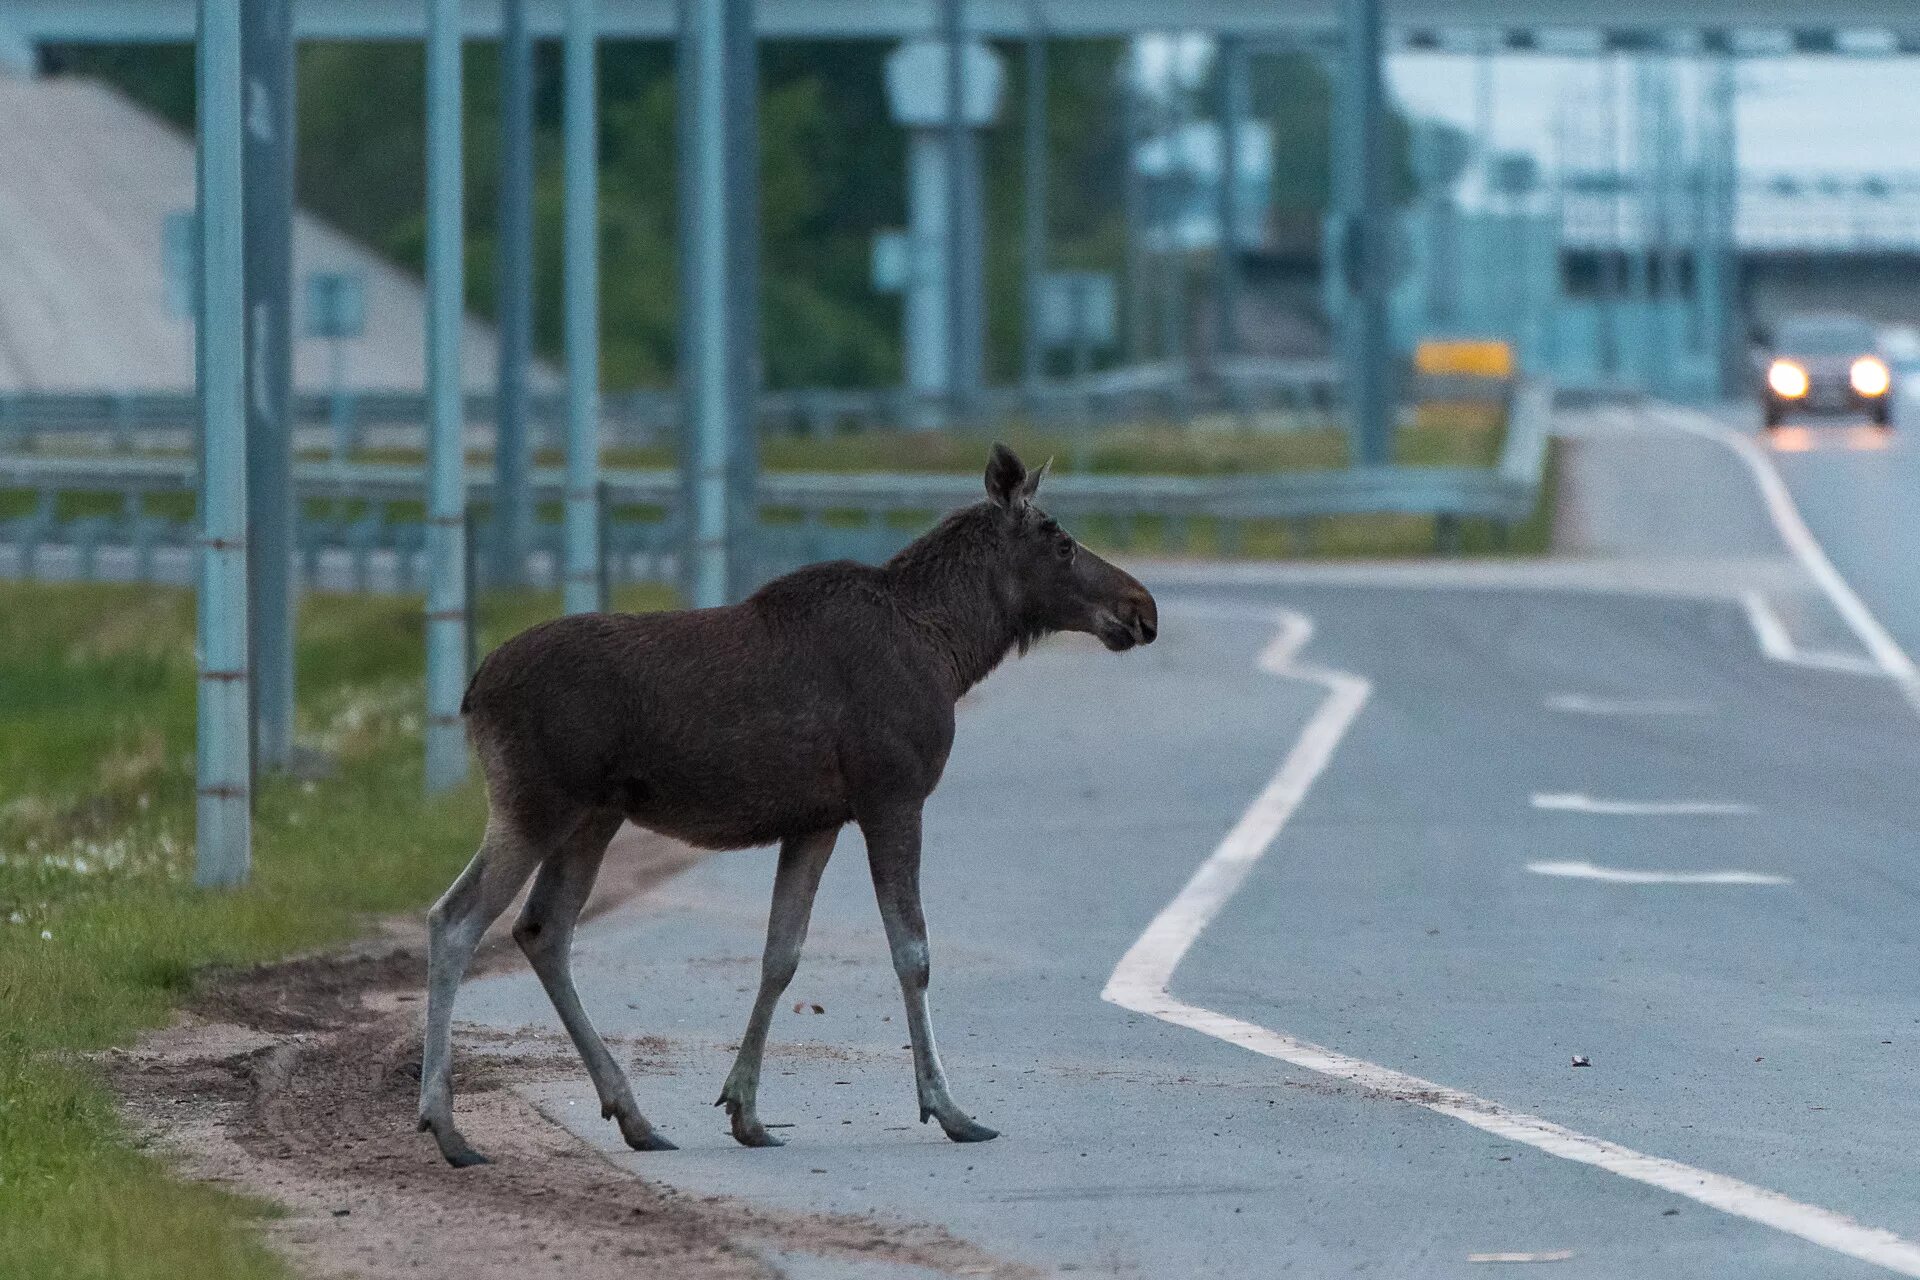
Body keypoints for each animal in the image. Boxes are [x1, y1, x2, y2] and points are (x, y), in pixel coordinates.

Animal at [416, 445, 1152, 1166]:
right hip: (537, 802)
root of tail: (472, 692)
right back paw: (446, 1126)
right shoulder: (892, 794)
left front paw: (745, 1110)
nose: (1143, 607)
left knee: (542, 928)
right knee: (455, 919)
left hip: (593, 815)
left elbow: (781, 954)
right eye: (1061, 541)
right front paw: (949, 1109)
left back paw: (634, 1115)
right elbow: (912, 952)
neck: (952, 651)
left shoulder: (817, 820)